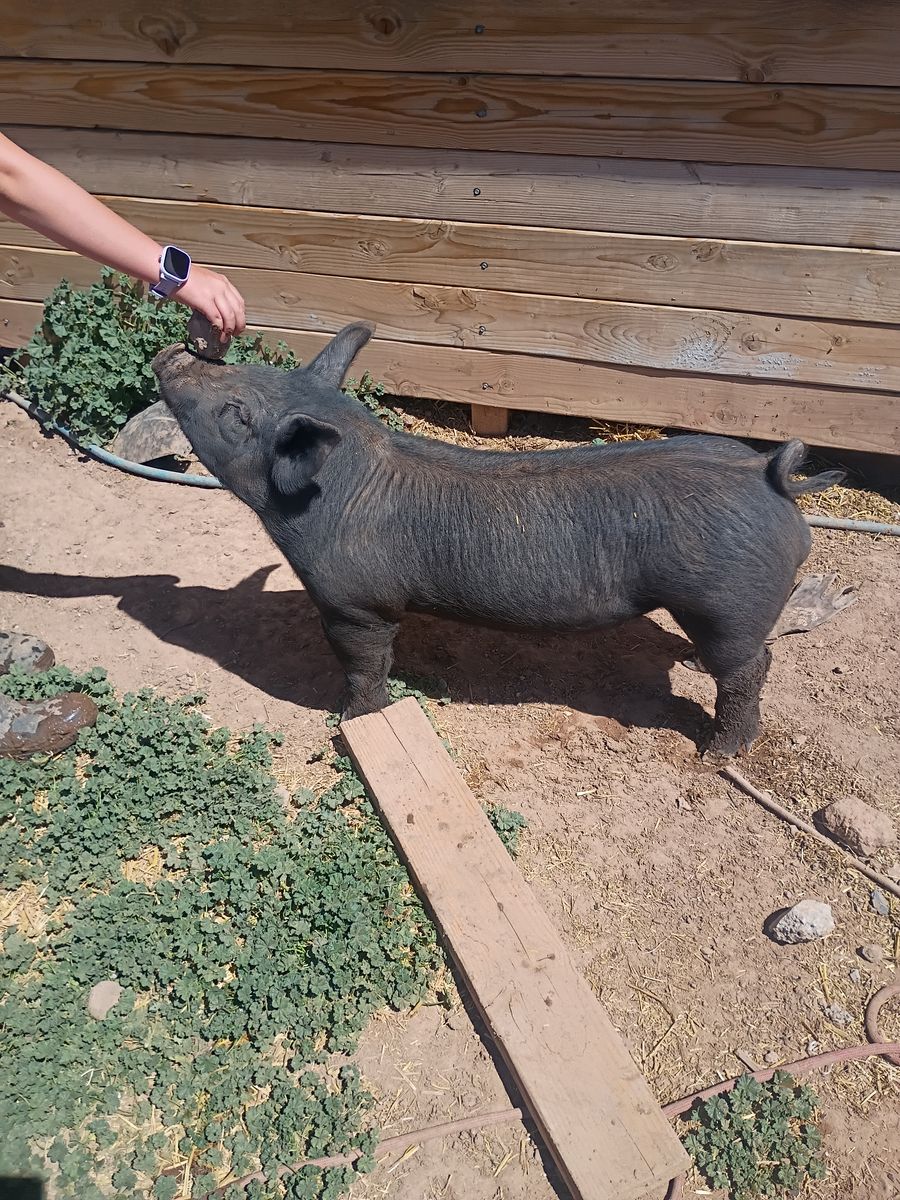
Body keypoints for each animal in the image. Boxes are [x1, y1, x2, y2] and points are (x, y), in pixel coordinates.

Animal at [152, 322, 843, 758]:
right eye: (247, 366)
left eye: (237, 414)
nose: (178, 354)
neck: (334, 491)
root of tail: (770, 475)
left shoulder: (355, 603)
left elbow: (363, 664)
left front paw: (351, 720)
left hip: (726, 599)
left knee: (749, 668)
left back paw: (717, 753)